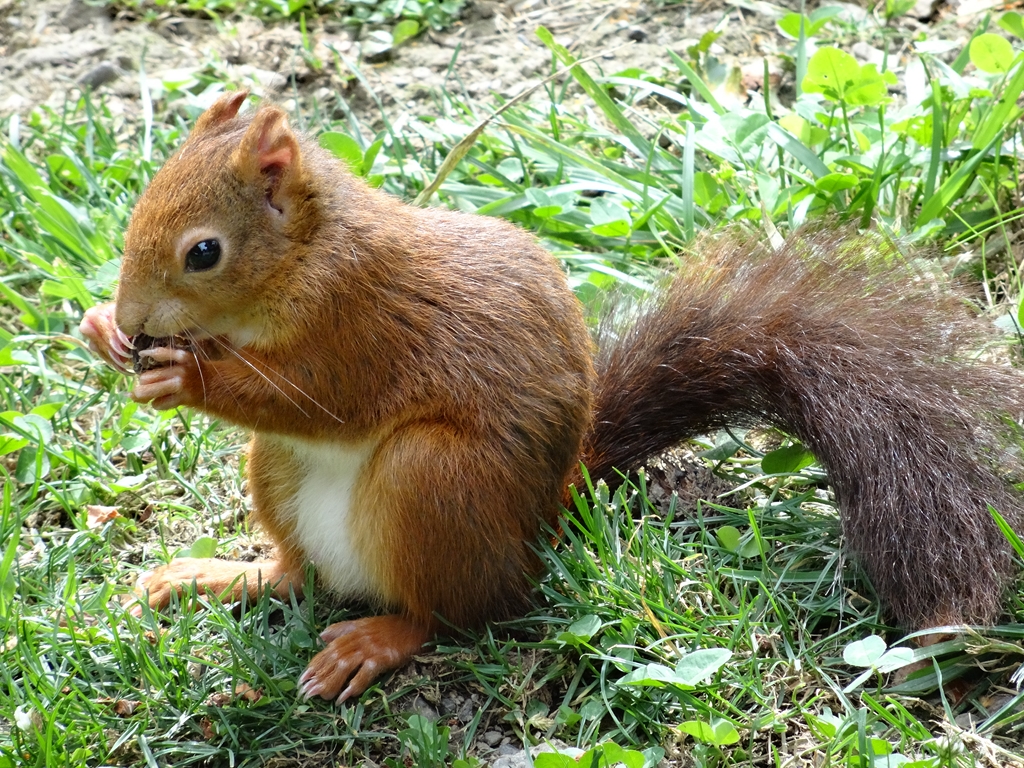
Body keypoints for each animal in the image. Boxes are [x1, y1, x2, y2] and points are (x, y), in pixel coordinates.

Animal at [79, 90, 1024, 704]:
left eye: (204, 252)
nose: (133, 318)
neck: (307, 255)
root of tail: (550, 515)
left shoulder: (360, 326)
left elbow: (315, 401)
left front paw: (185, 375)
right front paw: (100, 333)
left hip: (433, 481)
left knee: (457, 611)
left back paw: (379, 639)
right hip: (276, 474)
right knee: (294, 574)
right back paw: (221, 576)